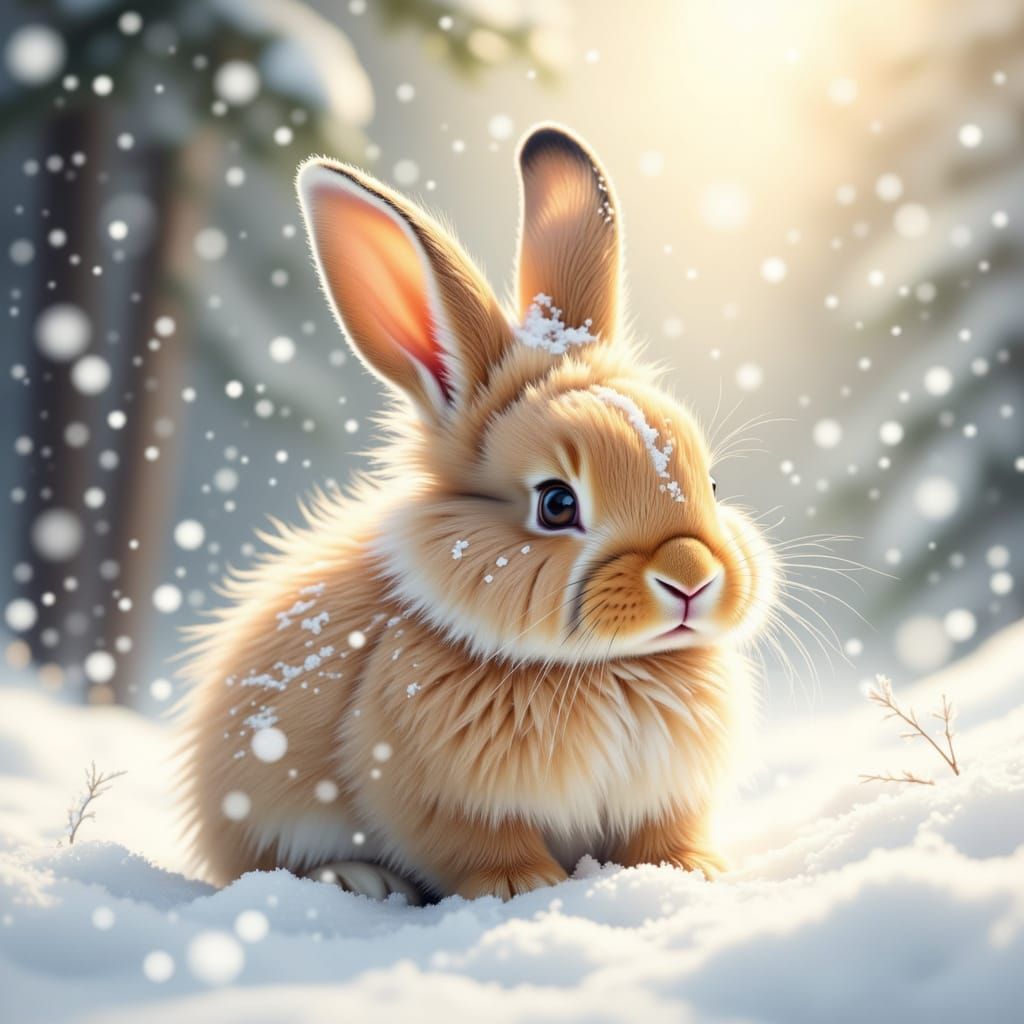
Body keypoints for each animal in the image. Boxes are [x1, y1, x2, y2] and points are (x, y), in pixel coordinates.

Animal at [178, 124, 779, 903]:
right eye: (556, 503)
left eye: (710, 481)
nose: (691, 576)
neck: (613, 668)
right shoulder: (428, 787)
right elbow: (475, 842)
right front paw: (522, 887)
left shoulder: (664, 794)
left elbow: (660, 833)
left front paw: (691, 870)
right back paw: (359, 878)